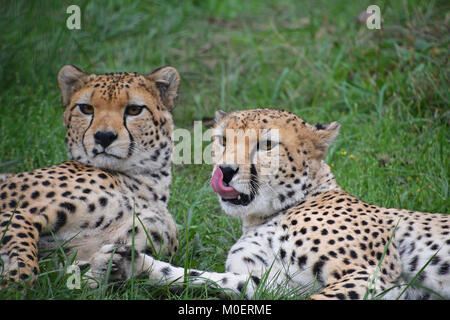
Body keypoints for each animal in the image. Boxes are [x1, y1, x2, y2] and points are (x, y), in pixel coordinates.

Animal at [2, 63, 181, 286]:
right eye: (86, 108)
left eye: (134, 110)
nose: (104, 136)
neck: (146, 185)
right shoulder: (16, 213)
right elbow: (23, 253)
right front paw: (16, 284)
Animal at [89, 108, 448, 300]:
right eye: (222, 140)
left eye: (267, 145)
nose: (225, 171)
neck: (270, 213)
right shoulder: (275, 284)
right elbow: (207, 277)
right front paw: (128, 266)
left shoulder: (371, 275)